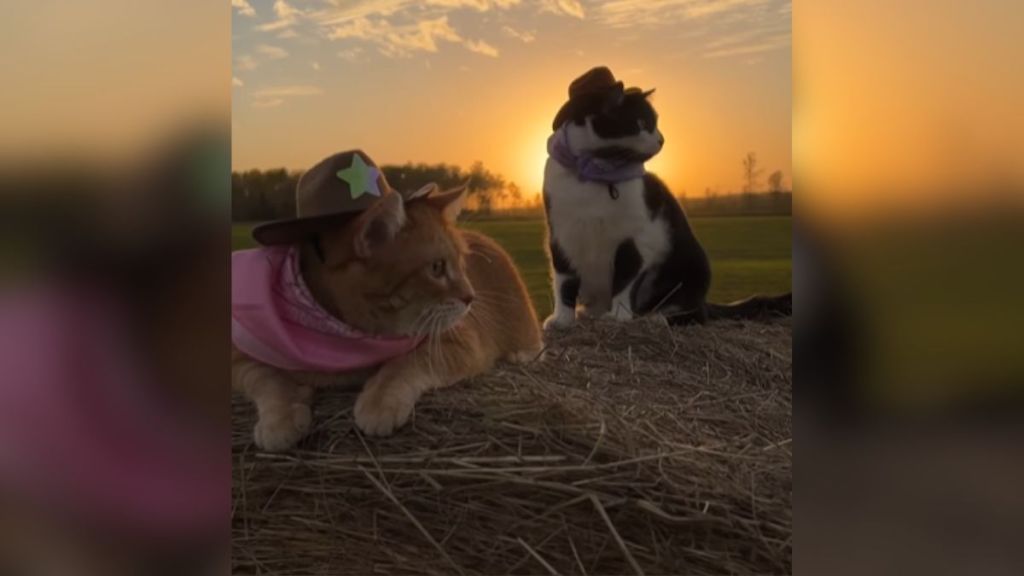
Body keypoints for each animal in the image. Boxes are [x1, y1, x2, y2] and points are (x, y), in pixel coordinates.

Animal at [233, 177, 544, 446]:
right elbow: (267, 379)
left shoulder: (462, 342)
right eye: (436, 268)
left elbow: (406, 362)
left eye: (462, 262)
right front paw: (280, 419)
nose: (471, 298)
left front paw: (379, 401)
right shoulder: (241, 353)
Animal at [544, 66, 790, 327]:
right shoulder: (561, 236)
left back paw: (655, 318)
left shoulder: (638, 237)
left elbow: (624, 280)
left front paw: (619, 317)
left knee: (692, 315)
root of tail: (703, 301)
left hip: (692, 268)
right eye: (642, 123)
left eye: (656, 123)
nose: (662, 139)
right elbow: (564, 281)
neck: (592, 169)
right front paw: (562, 320)